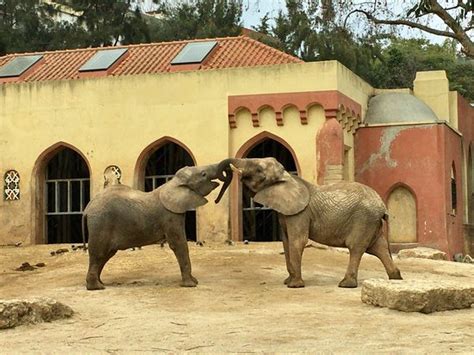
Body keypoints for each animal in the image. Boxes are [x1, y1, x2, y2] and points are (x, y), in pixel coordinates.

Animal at [82, 164, 229, 292]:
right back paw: (97, 287)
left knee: (106, 255)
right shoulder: (170, 216)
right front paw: (191, 285)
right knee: (99, 254)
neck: (174, 183)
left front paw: (194, 281)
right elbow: (179, 244)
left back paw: (100, 283)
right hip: (101, 223)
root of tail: (87, 209)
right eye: (203, 174)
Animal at [217, 159, 402, 290]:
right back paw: (396, 278)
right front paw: (288, 281)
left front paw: (294, 286)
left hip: (364, 219)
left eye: (259, 170)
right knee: (379, 248)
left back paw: (345, 284)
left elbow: (297, 241)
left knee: (357, 247)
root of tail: (382, 206)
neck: (288, 177)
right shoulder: (286, 213)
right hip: (372, 222)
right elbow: (286, 242)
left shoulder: (300, 214)